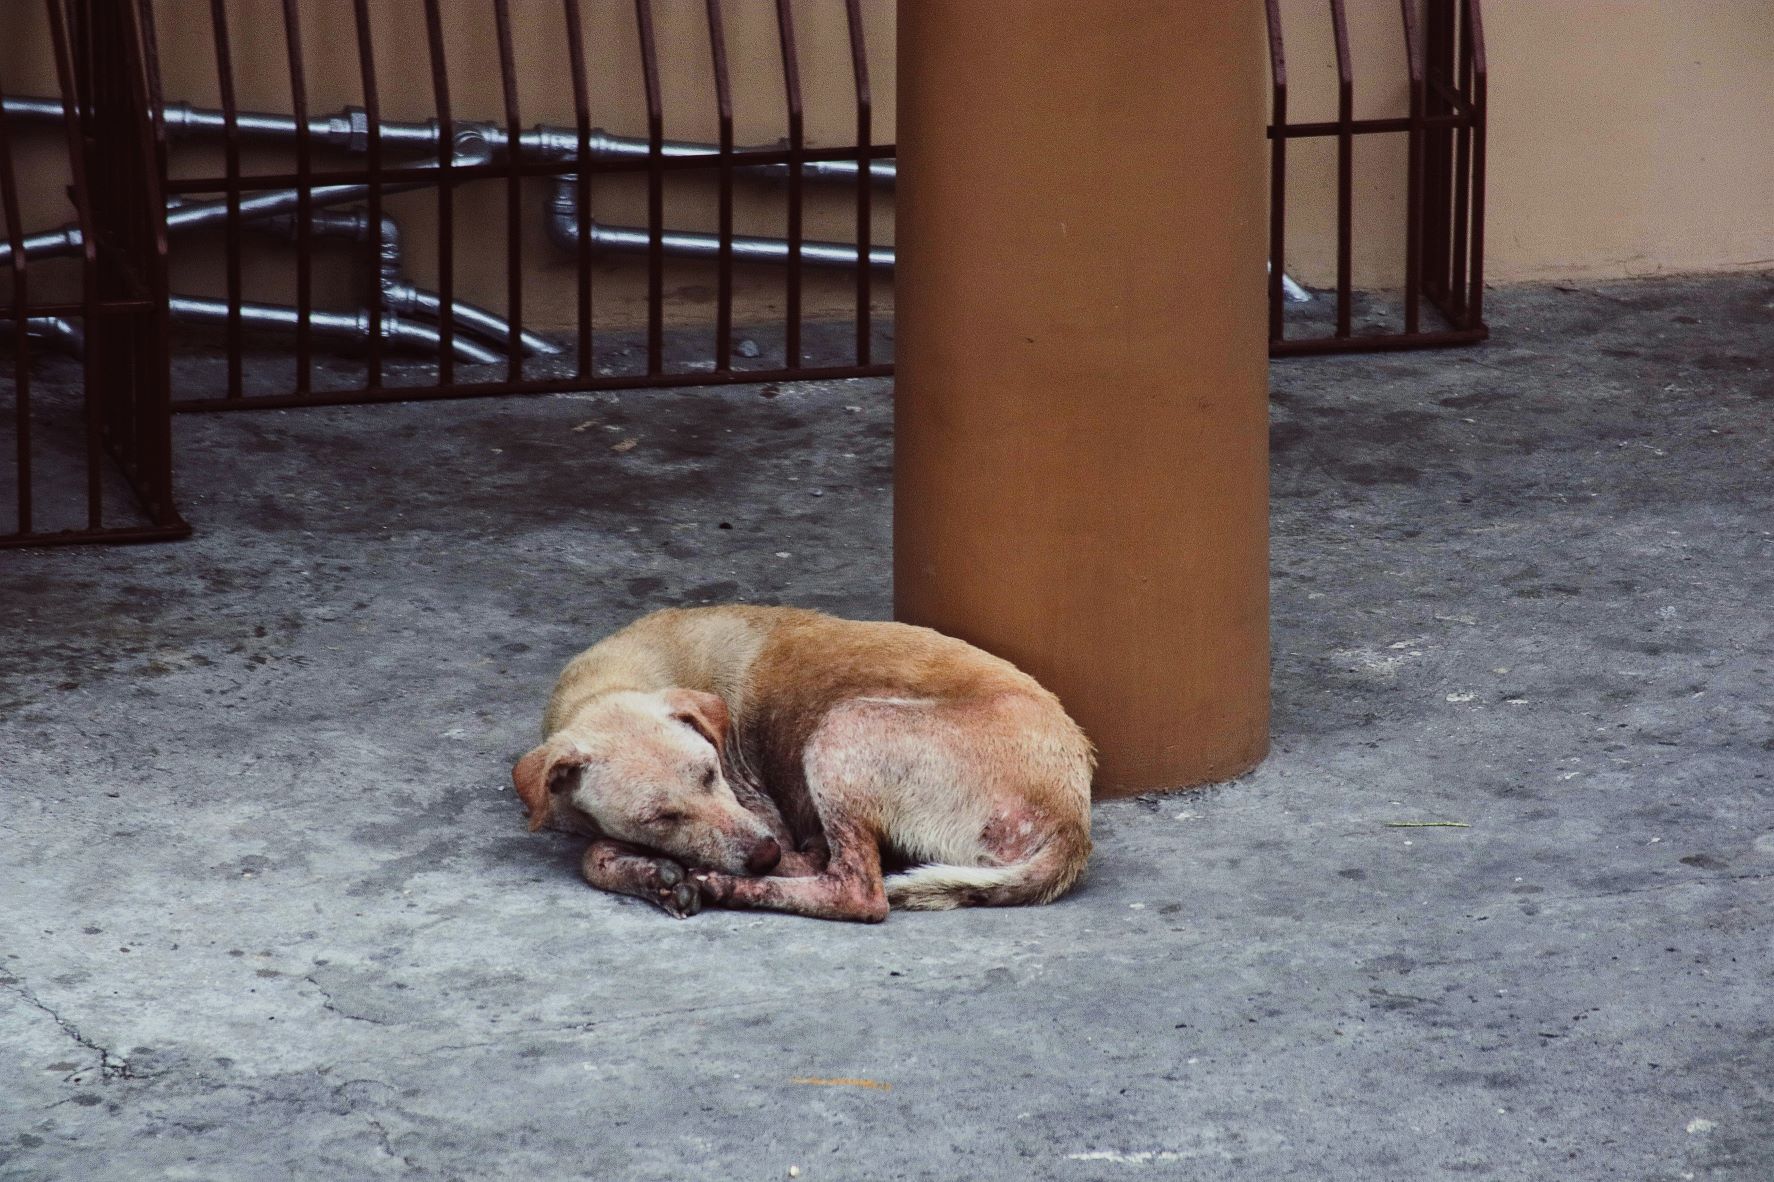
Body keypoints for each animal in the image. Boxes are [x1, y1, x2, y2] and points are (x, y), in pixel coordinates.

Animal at [514, 606, 1092, 922]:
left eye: (711, 772)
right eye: (661, 816)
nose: (765, 854)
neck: (611, 682)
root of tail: (1072, 819)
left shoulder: (758, 806)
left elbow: (592, 855)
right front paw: (651, 873)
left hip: (844, 726)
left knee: (856, 889)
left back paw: (739, 885)